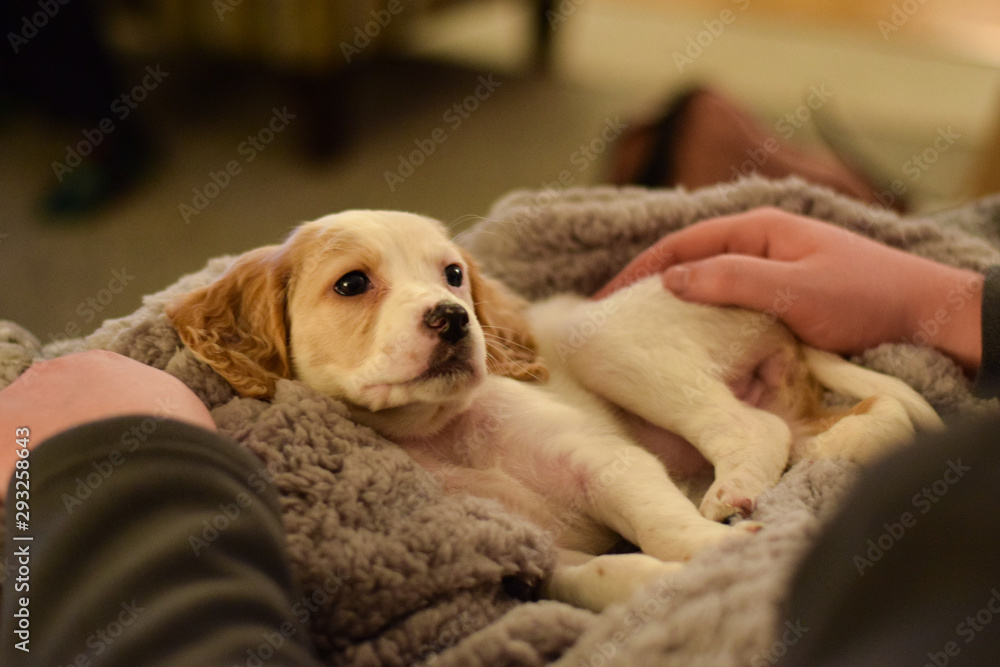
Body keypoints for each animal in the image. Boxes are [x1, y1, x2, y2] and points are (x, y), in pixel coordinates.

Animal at [168, 210, 940, 612]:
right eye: (352, 284)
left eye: (453, 274)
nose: (453, 318)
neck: (441, 432)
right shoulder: (534, 547)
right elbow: (592, 575)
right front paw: (657, 584)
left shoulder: (608, 461)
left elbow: (663, 524)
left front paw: (714, 552)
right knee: (840, 421)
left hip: (601, 339)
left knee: (755, 426)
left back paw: (735, 492)